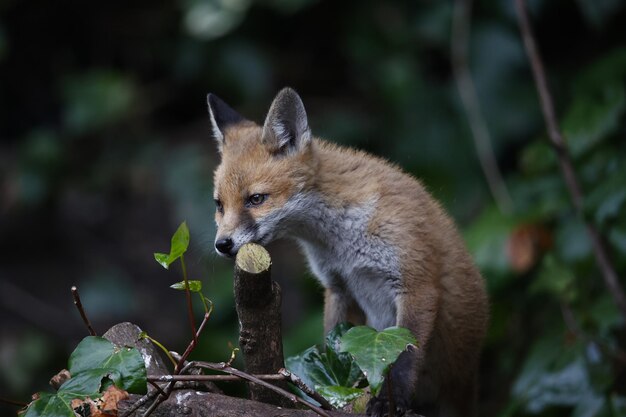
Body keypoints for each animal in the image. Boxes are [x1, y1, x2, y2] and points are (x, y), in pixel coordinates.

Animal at [207, 86, 490, 414]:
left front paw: (391, 399)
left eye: (256, 199)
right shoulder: (338, 287)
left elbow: (404, 353)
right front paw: (333, 390)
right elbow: (336, 347)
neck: (341, 244)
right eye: (219, 205)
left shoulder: (416, 283)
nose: (222, 244)